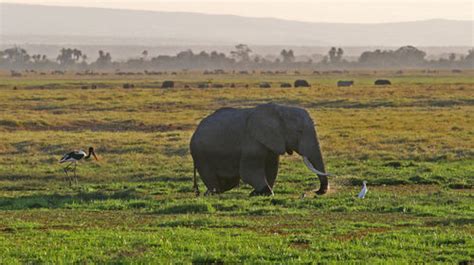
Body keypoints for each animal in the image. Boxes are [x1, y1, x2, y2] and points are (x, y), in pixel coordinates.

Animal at [189, 102, 330, 195]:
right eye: (299, 131)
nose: (318, 192)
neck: (281, 109)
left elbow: (272, 168)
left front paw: (259, 193)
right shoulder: (252, 140)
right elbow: (248, 171)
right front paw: (266, 192)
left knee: (230, 181)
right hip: (200, 153)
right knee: (210, 175)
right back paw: (213, 193)